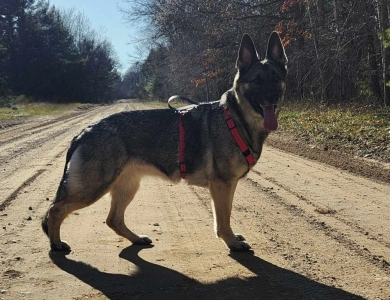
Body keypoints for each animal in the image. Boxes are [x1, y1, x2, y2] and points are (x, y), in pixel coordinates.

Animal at [42, 31, 286, 252]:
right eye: (256, 81)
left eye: (276, 79)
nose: (272, 97)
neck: (236, 118)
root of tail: (85, 131)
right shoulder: (222, 185)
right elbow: (224, 219)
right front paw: (232, 242)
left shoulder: (228, 185)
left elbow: (224, 216)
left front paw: (231, 238)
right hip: (93, 187)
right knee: (55, 210)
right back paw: (56, 244)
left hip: (126, 187)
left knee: (113, 219)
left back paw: (136, 239)